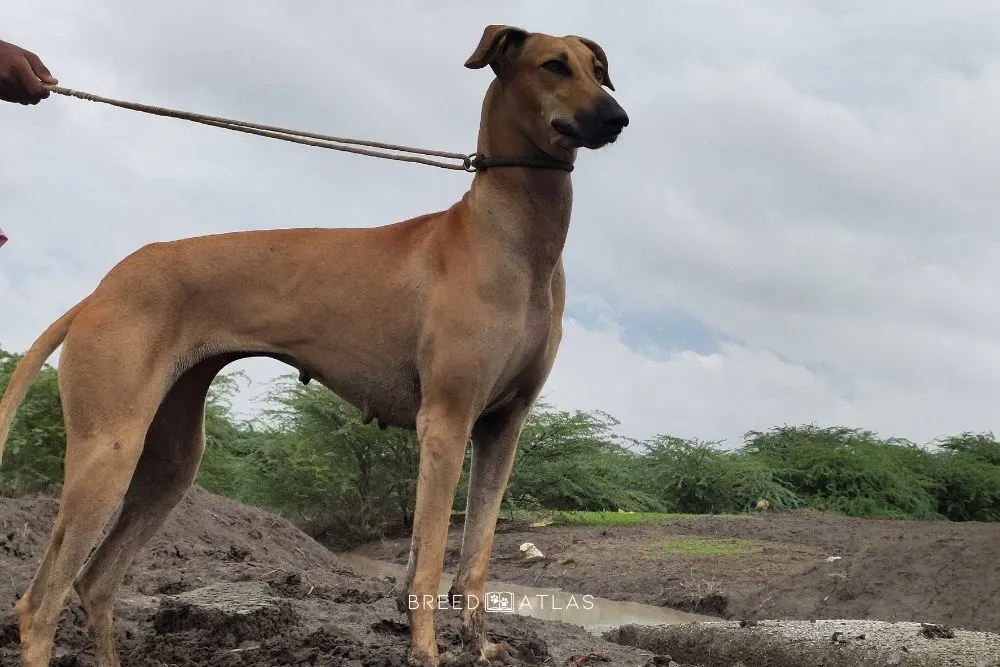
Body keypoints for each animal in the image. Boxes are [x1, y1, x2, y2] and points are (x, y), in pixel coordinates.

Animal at [0, 24, 624, 667]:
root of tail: (102, 289)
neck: (510, 238)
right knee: (38, 604)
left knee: (96, 581)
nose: (618, 118)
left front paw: (479, 647)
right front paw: (427, 652)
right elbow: (426, 565)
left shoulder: (502, 428)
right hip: (109, 451)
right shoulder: (446, 424)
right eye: (553, 65)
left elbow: (474, 561)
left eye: (597, 70)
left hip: (169, 463)